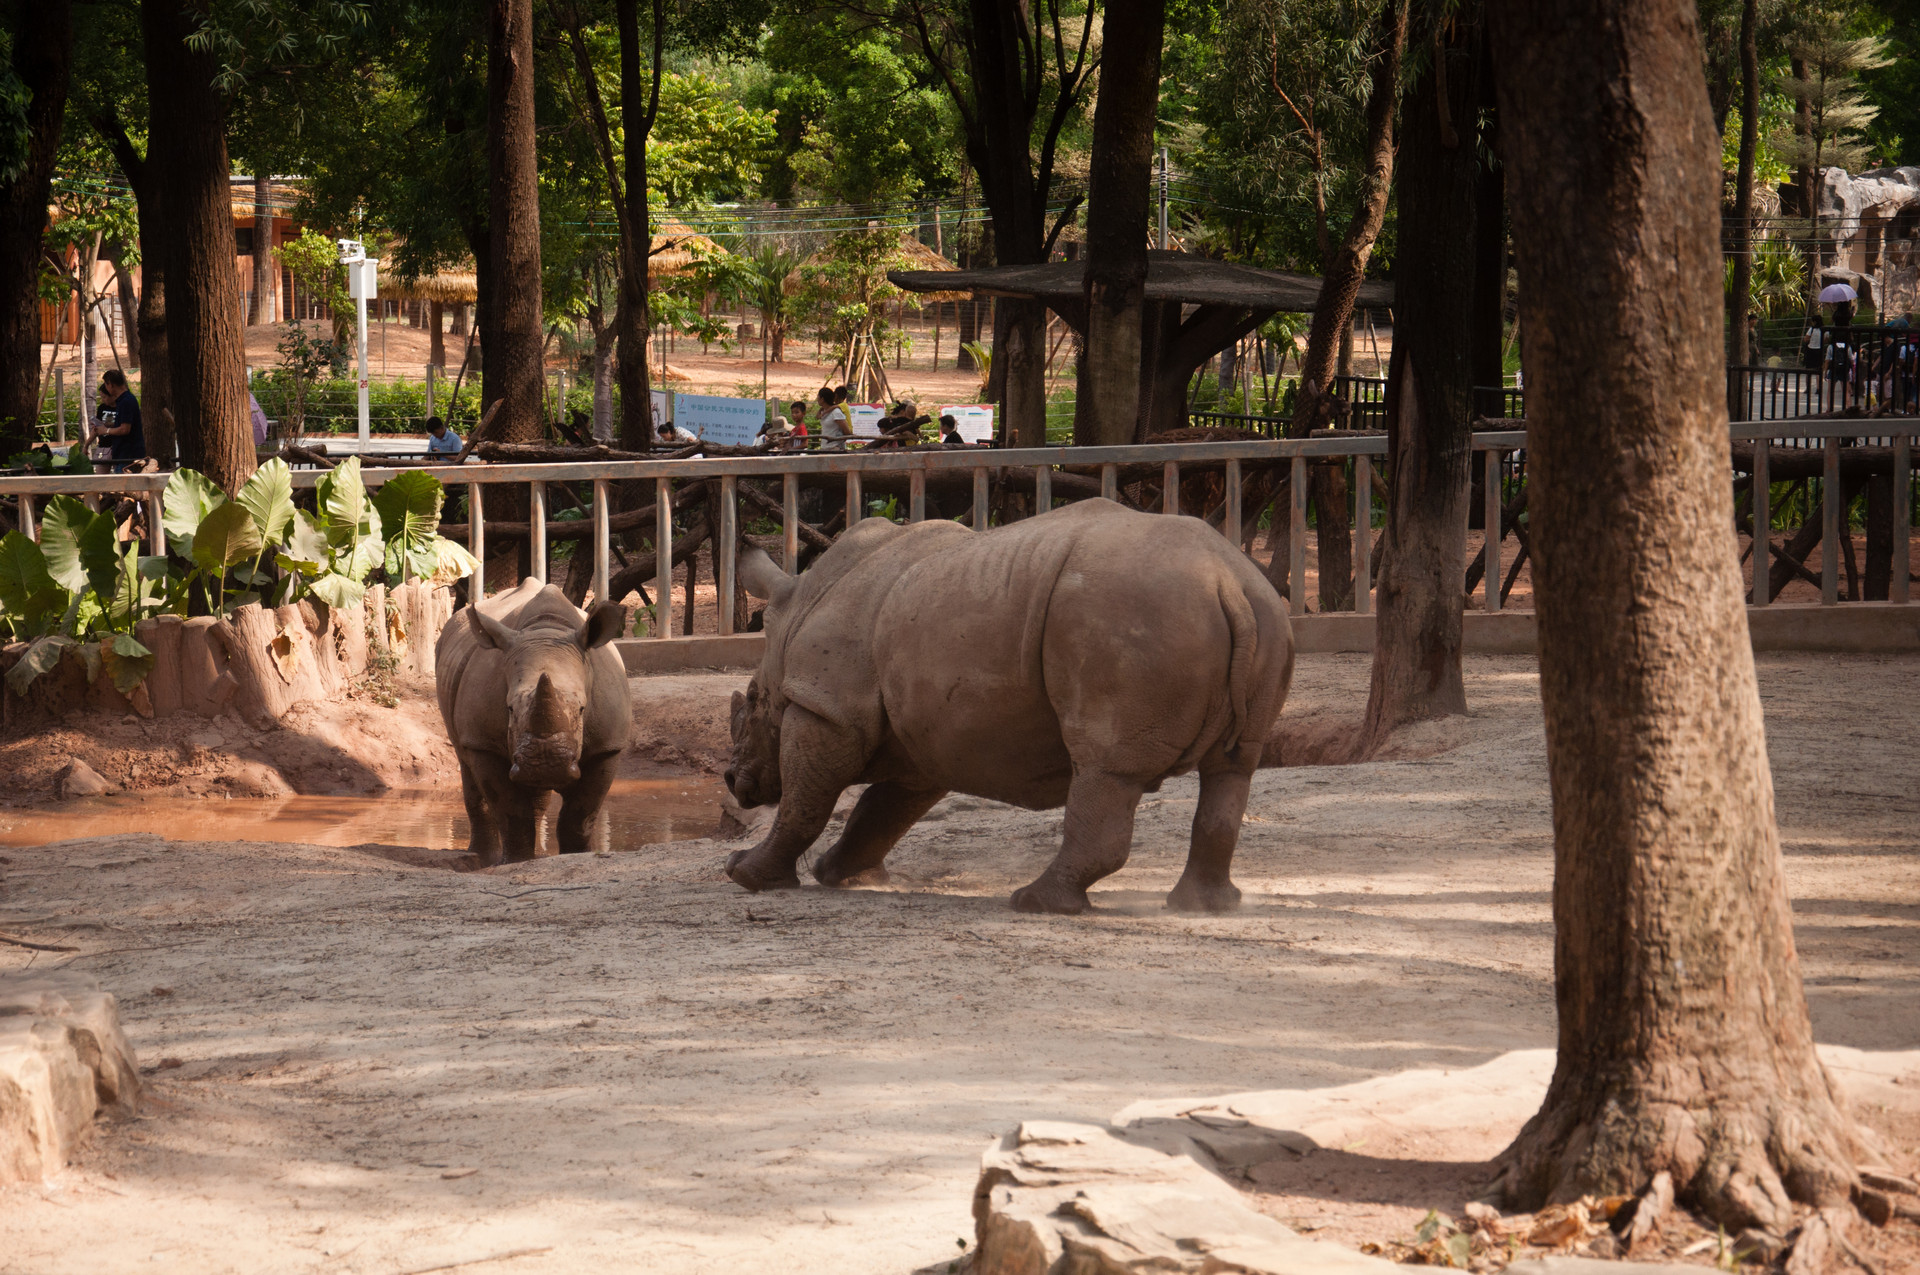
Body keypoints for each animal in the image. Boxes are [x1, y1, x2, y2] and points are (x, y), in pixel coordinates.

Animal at [435, 579, 629, 867]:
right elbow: (511, 809)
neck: (547, 630)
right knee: (466, 764)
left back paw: (536, 855)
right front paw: (514, 861)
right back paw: (481, 858)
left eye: (582, 709)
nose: (546, 763)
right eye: (509, 708)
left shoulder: (607, 747)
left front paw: (577, 855)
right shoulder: (483, 743)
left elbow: (580, 814)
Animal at [725, 499, 1297, 917]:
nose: (732, 781)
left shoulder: (828, 708)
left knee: (1105, 767)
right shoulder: (922, 735)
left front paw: (744, 874)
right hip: (1261, 619)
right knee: (1231, 769)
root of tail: (1228, 582)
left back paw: (1035, 904)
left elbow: (805, 802)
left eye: (751, 701)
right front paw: (838, 876)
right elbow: (880, 810)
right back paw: (1203, 907)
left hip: (1135, 615)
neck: (797, 610)